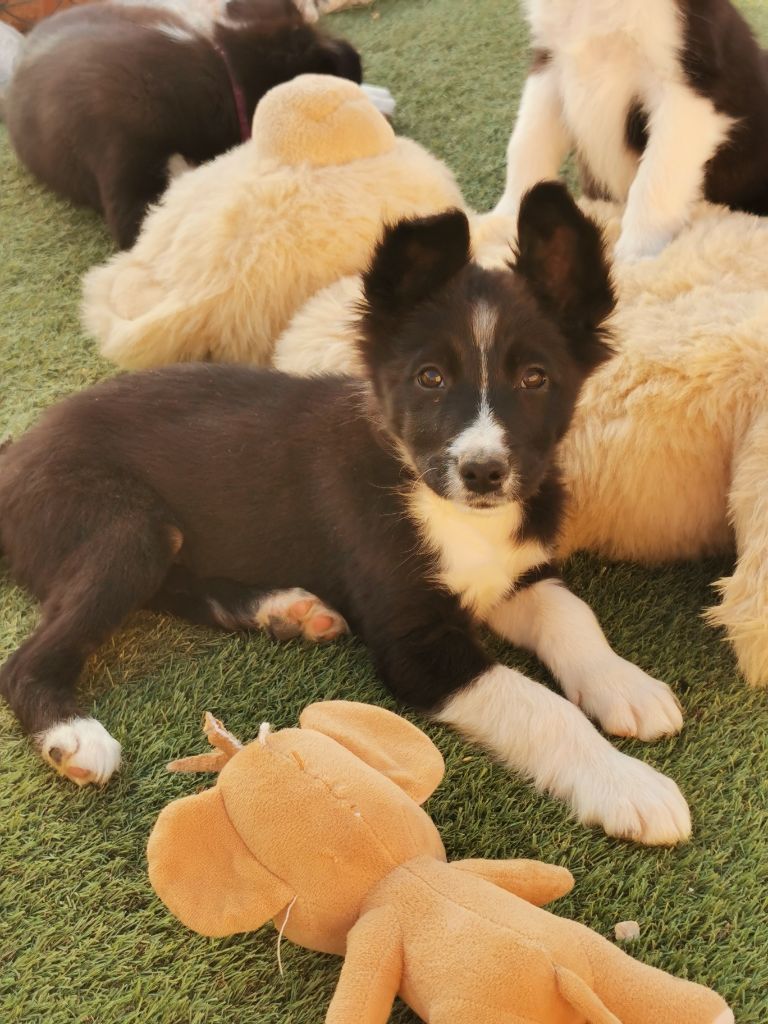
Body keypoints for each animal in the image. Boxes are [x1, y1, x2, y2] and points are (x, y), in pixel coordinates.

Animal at [493, 0, 768, 260]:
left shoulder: (688, 87)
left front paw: (639, 251)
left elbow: (655, 175)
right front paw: (505, 217)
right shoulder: (549, 62)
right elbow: (527, 142)